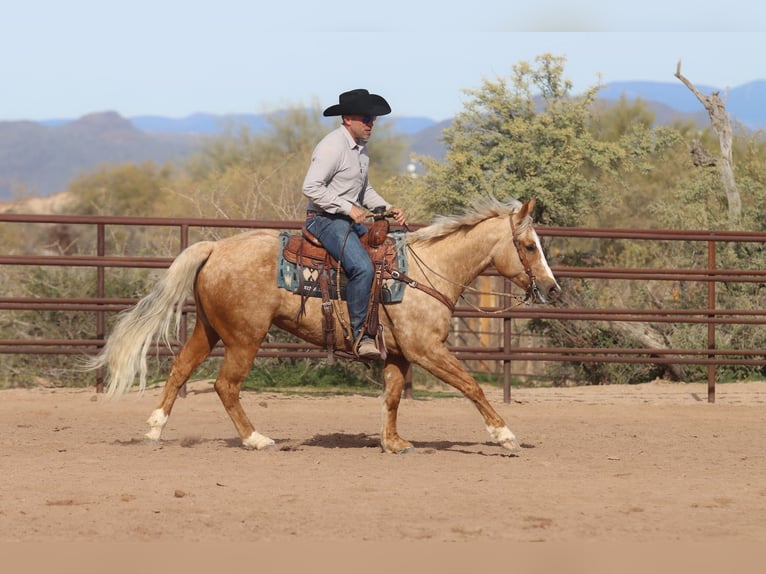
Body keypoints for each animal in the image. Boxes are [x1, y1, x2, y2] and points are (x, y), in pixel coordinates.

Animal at [88, 197, 560, 454]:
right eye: (527, 245)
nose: (553, 289)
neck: (427, 271)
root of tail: (215, 248)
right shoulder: (427, 349)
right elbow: (471, 385)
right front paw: (504, 434)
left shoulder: (399, 354)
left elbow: (392, 397)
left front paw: (392, 442)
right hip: (244, 337)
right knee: (226, 385)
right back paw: (256, 439)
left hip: (210, 329)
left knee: (180, 369)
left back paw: (154, 430)